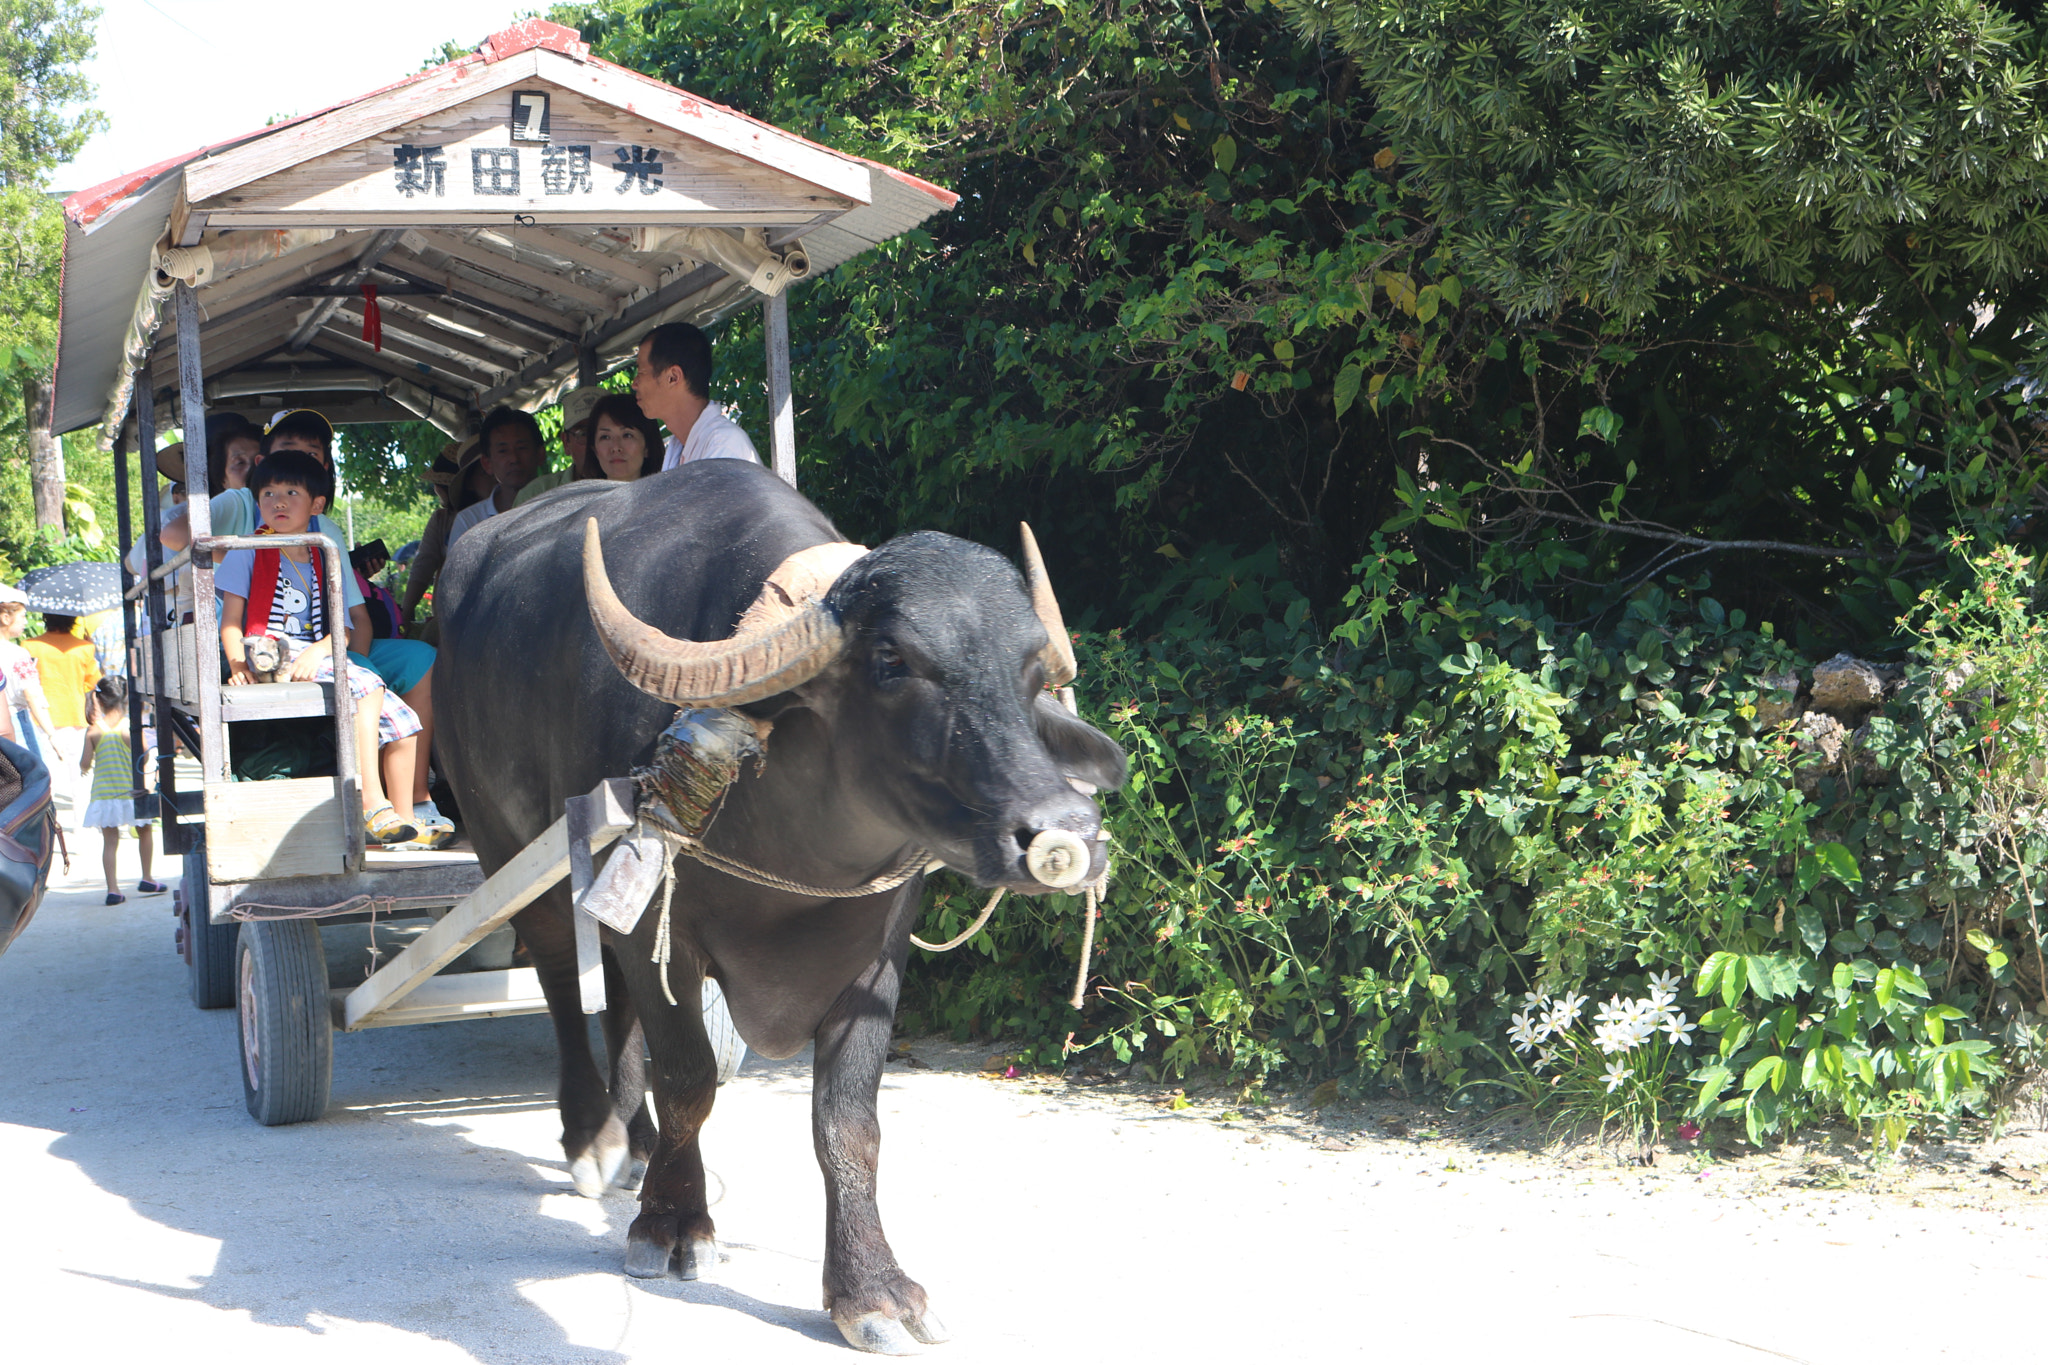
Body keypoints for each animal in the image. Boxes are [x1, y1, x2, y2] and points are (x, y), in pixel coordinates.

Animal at [438, 462, 1130, 1358]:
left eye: (1033, 673)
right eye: (891, 659)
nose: (1066, 829)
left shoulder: (875, 957)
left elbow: (848, 1119)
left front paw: (871, 1287)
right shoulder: (672, 931)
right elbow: (691, 1077)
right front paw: (672, 1224)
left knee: (619, 1002)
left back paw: (637, 1141)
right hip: (509, 847)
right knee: (563, 978)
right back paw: (595, 1135)